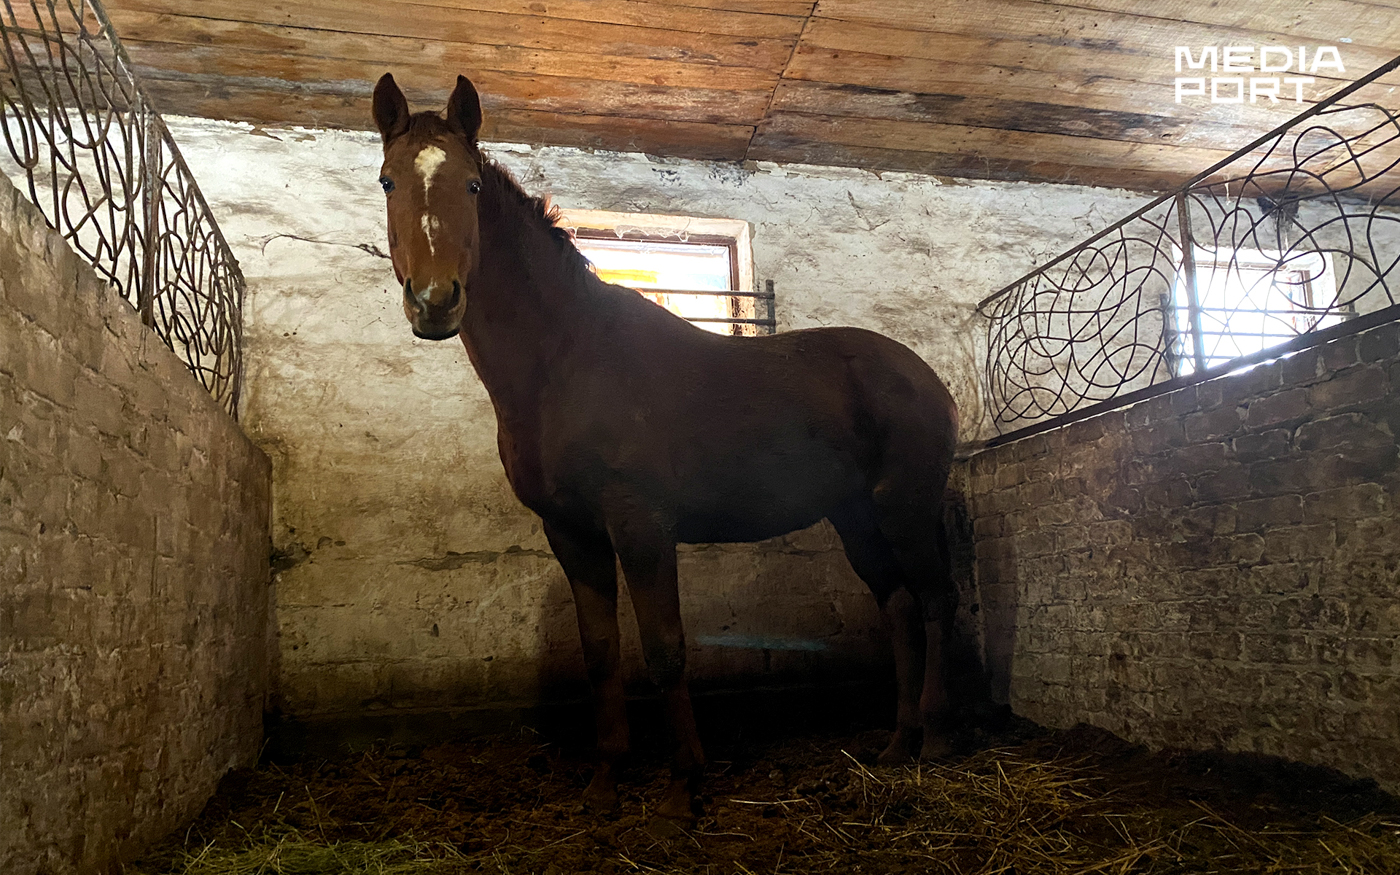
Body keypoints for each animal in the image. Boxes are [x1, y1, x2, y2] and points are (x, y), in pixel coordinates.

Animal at [372, 73, 963, 817]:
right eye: (388, 180)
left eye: (473, 185)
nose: (435, 302)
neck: (567, 360)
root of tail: (925, 377)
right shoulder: (571, 532)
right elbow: (601, 652)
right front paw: (607, 777)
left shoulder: (642, 523)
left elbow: (664, 649)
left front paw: (685, 780)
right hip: (857, 518)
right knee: (901, 606)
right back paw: (896, 742)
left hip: (904, 508)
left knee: (936, 600)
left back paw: (936, 737)